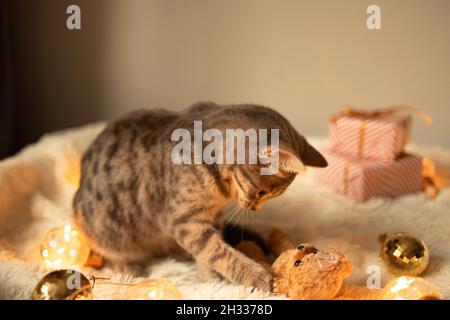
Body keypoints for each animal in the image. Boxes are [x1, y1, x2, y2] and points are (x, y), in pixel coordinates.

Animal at [74, 101, 326, 292]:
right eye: (262, 192)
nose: (254, 208)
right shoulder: (185, 222)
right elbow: (220, 254)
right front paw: (257, 277)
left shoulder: (210, 220)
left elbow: (208, 255)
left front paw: (210, 280)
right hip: (101, 229)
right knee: (112, 252)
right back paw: (130, 268)